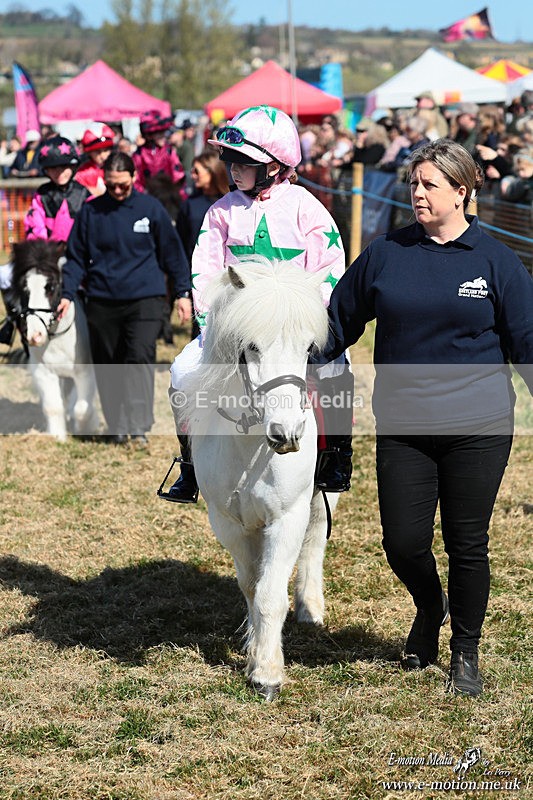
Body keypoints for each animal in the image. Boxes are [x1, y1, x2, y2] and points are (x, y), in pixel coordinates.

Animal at [10, 239, 99, 441]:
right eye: (24, 288)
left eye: (50, 287)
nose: (35, 336)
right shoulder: (44, 372)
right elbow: (53, 407)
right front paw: (58, 437)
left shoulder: (85, 372)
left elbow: (82, 408)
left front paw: (85, 428)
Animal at [179, 257, 341, 700]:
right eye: (251, 346)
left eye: (308, 348)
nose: (287, 433)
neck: (251, 446)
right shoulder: (229, 523)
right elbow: (252, 587)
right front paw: (253, 649)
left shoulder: (286, 519)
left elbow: (271, 594)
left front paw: (267, 673)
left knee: (315, 540)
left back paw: (310, 607)